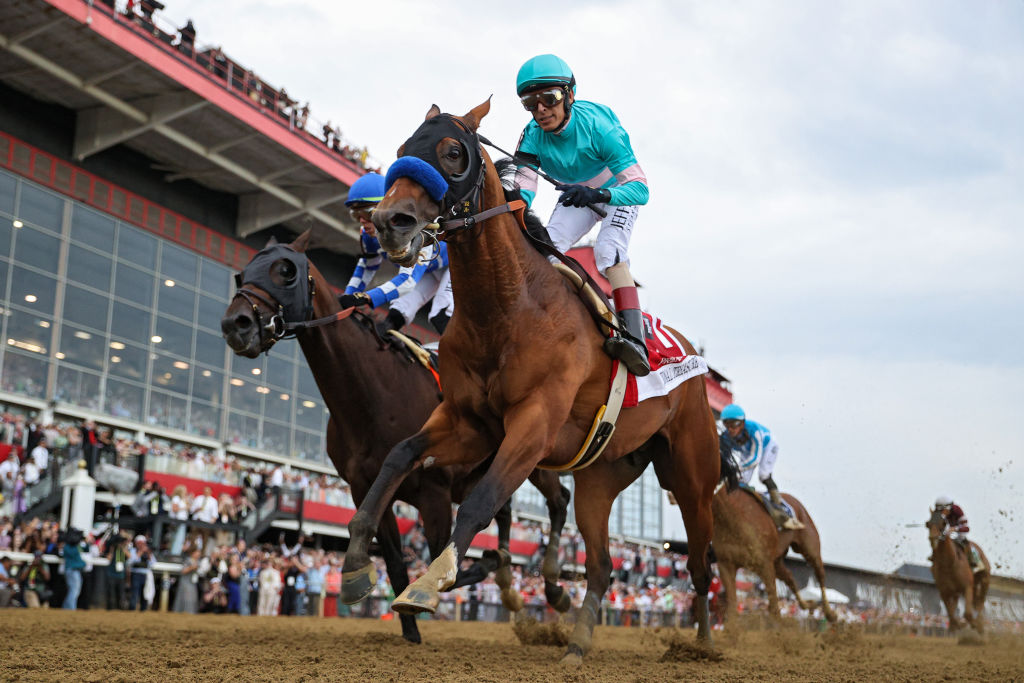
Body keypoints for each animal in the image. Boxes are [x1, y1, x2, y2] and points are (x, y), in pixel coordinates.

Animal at [220, 232, 573, 643]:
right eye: (242, 274)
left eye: (285, 271)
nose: (236, 324)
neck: (373, 395)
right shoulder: (366, 487)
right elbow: (394, 563)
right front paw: (407, 630)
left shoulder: (434, 492)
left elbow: (442, 560)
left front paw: (486, 564)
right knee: (505, 511)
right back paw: (508, 581)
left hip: (535, 450)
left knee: (559, 501)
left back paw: (549, 586)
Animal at [339, 101, 716, 667]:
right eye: (404, 147)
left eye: (453, 152)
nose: (388, 222)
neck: (508, 307)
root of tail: (693, 358)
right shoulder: (468, 422)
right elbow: (398, 456)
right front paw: (357, 564)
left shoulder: (533, 425)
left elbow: (481, 500)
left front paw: (431, 582)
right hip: (600, 477)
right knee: (602, 564)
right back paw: (576, 642)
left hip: (691, 476)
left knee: (700, 564)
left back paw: (706, 643)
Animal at [716, 454, 835, 626]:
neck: (731, 517)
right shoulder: (726, 563)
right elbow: (731, 607)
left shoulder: (764, 564)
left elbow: (773, 607)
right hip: (777, 560)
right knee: (790, 577)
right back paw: (807, 604)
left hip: (809, 548)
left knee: (820, 575)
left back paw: (830, 613)